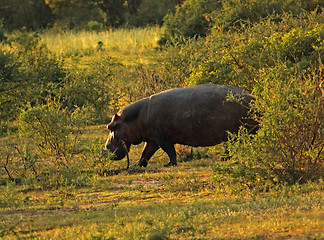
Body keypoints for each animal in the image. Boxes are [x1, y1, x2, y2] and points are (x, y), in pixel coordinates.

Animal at [105, 84, 256, 167]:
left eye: (110, 126)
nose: (106, 147)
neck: (136, 117)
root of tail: (253, 97)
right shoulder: (153, 139)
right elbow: (146, 153)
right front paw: (138, 165)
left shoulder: (162, 139)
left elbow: (170, 151)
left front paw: (168, 165)